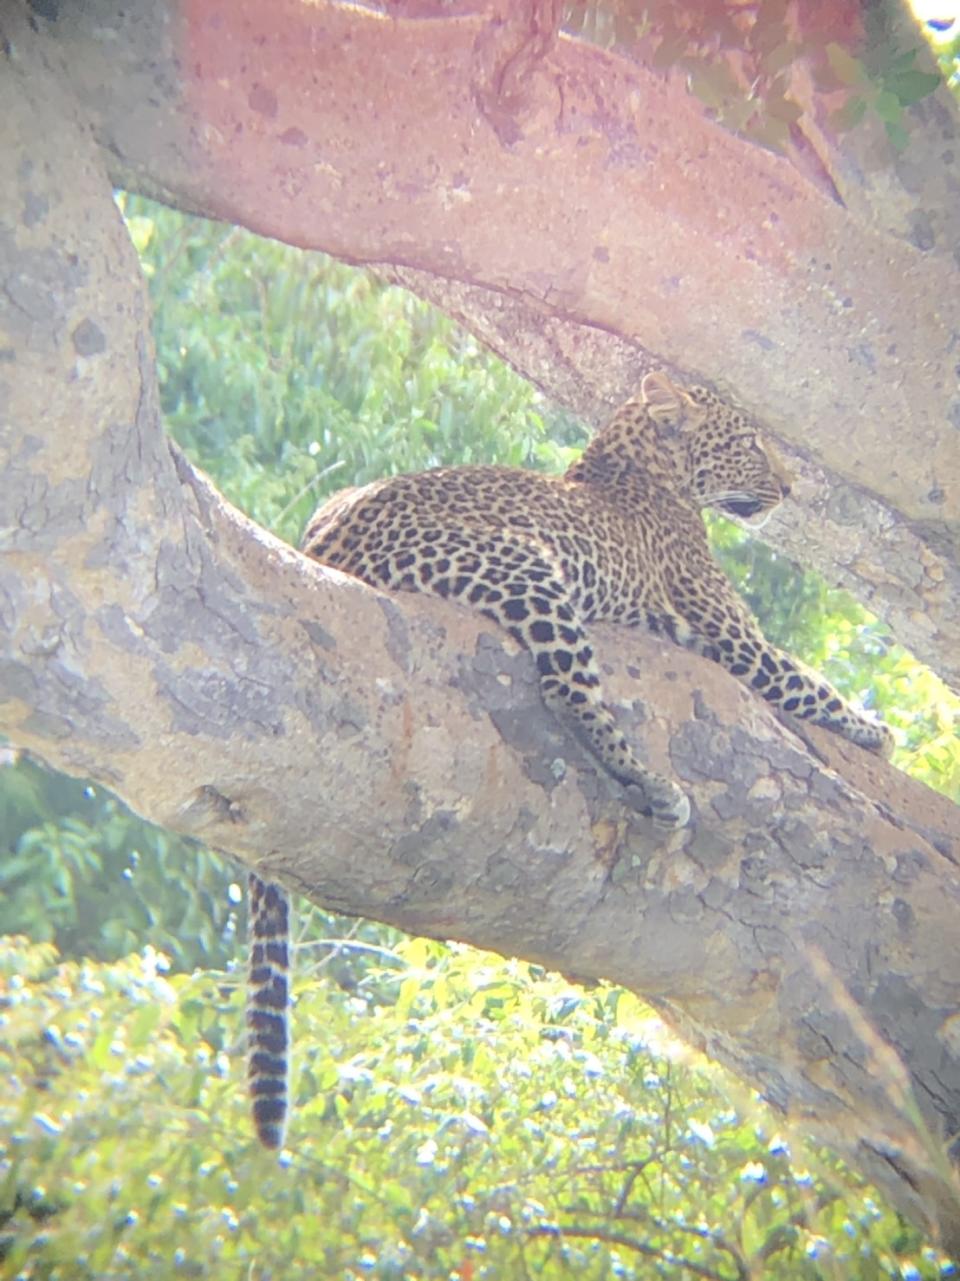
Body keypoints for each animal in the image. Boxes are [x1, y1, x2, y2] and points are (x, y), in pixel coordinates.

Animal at [247, 371, 892, 1152]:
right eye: (746, 444)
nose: (791, 488)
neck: (638, 459)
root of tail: (328, 549)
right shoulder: (734, 639)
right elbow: (806, 680)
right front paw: (873, 729)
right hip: (525, 567)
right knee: (566, 688)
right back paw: (652, 786)